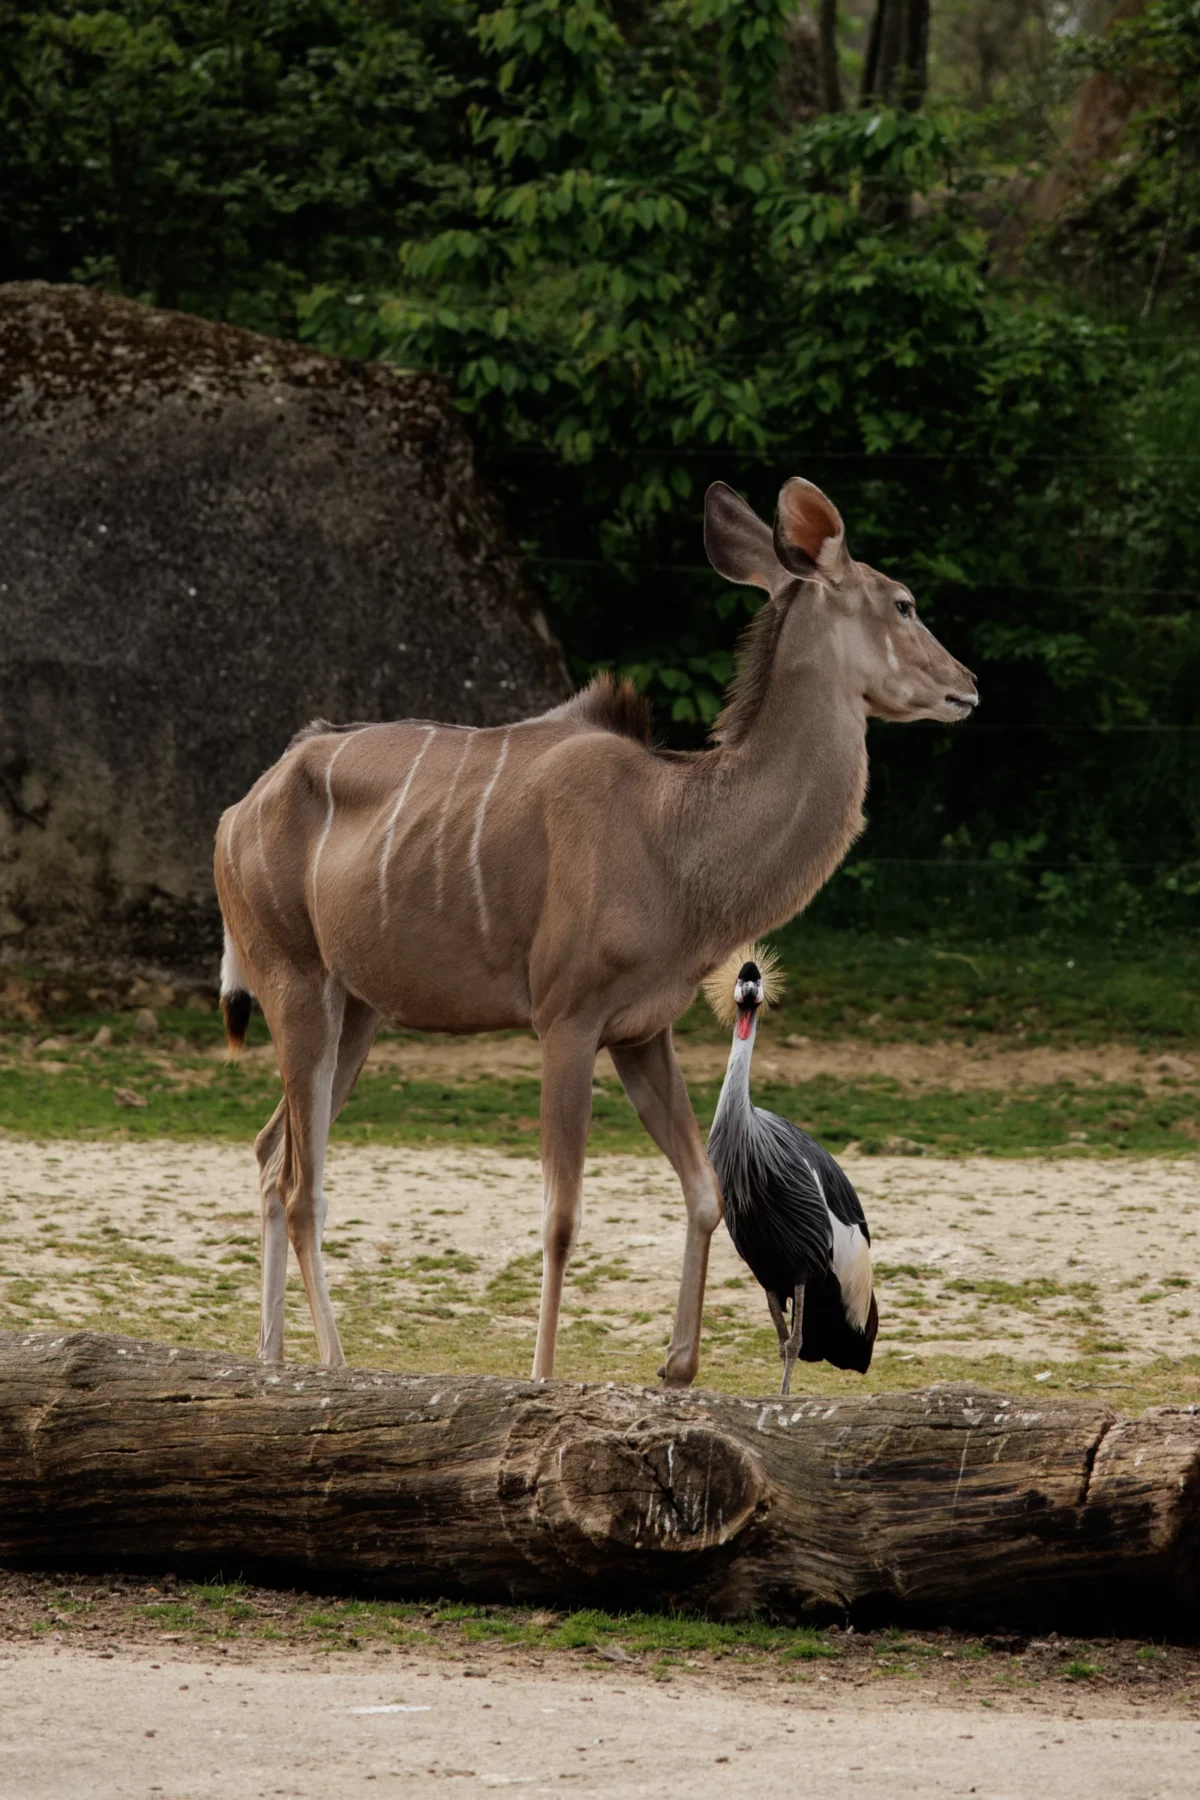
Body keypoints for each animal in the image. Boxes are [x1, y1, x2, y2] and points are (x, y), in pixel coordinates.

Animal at [213, 476, 977, 1385]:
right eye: (903, 603)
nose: (968, 685)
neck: (676, 833)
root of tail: (237, 811)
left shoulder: (642, 1030)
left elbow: (703, 1189)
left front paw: (677, 1368)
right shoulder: (566, 1021)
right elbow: (561, 1216)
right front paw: (543, 1375)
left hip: (355, 1008)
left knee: (273, 1155)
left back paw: (270, 1361)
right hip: (295, 984)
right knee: (303, 1186)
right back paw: (330, 1362)